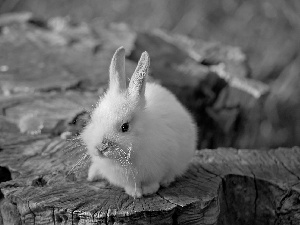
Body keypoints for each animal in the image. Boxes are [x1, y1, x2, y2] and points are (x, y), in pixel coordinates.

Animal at [81, 46, 197, 198]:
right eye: (94, 119)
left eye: (125, 127)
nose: (101, 148)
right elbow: (131, 185)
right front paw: (135, 193)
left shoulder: (158, 168)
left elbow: (153, 181)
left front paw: (148, 191)